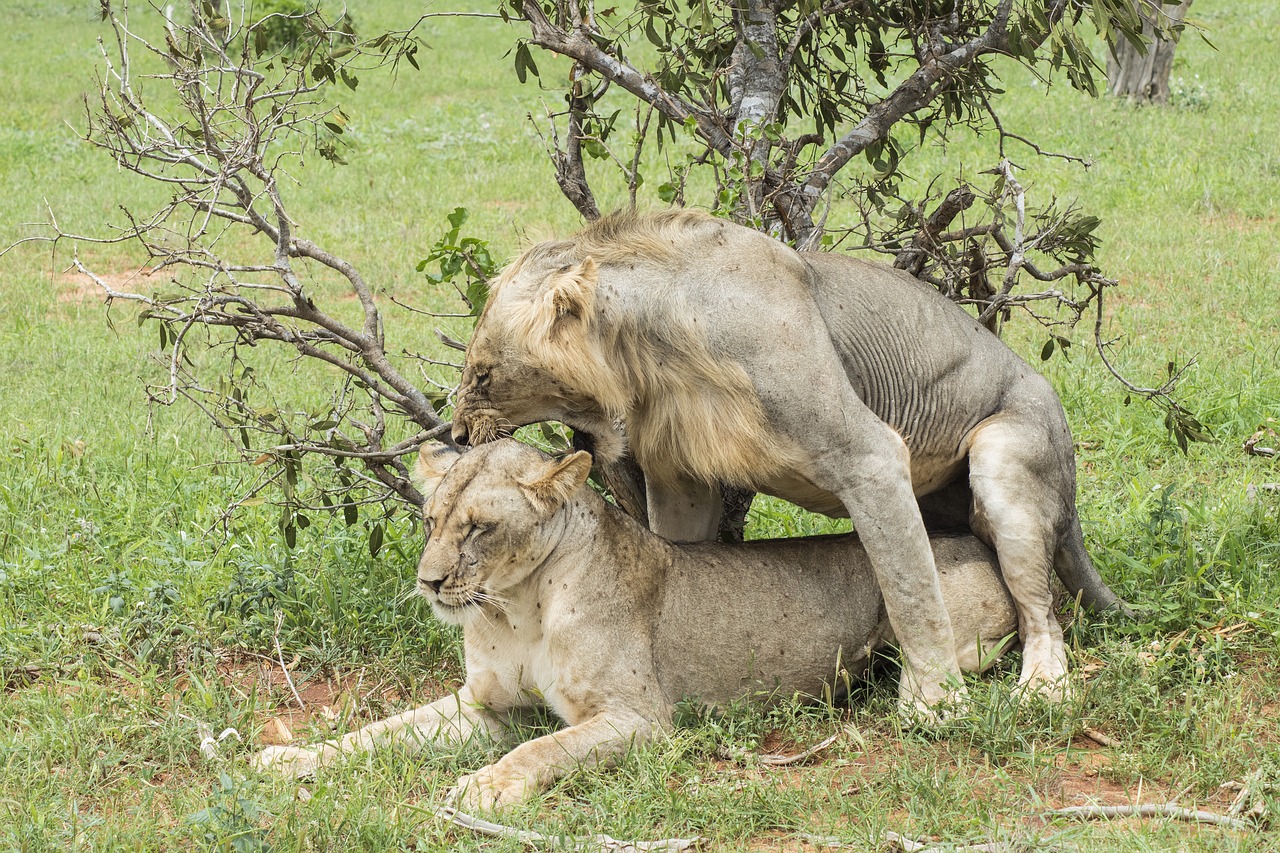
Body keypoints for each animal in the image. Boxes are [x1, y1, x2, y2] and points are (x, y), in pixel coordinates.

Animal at [254, 440, 1018, 809]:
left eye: (479, 527)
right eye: (431, 520)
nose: (430, 582)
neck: (515, 606)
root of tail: (972, 539)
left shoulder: (639, 718)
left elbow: (543, 749)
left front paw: (488, 786)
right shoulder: (488, 707)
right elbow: (379, 732)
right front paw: (290, 759)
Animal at [453, 208, 1131, 712]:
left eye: (482, 374)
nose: (458, 433)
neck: (652, 346)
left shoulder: (870, 456)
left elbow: (911, 589)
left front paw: (935, 702)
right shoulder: (682, 475)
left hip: (1006, 454)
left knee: (1042, 611)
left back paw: (1041, 687)